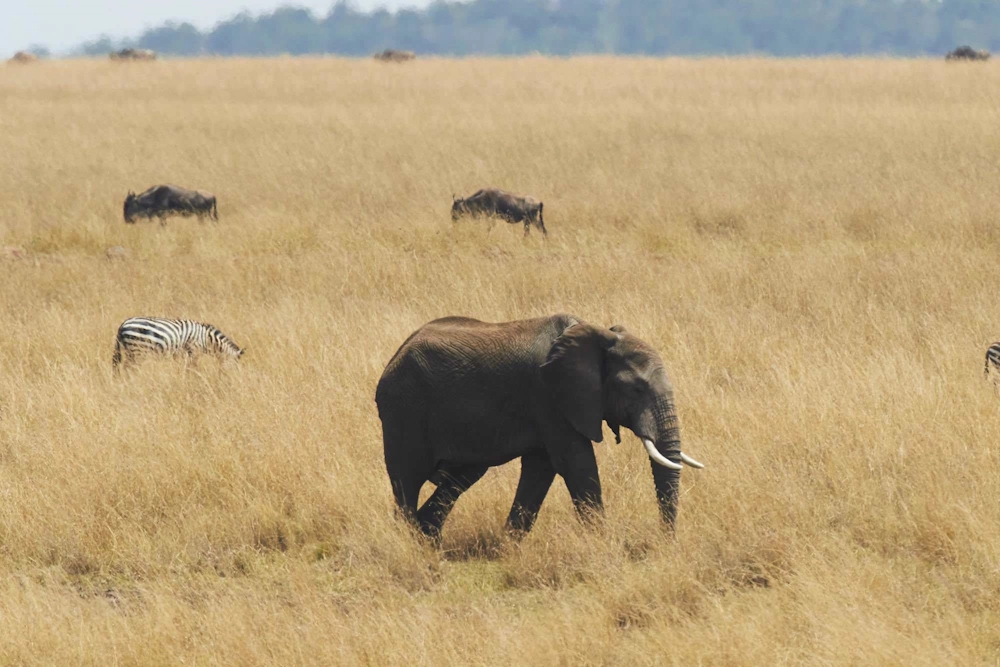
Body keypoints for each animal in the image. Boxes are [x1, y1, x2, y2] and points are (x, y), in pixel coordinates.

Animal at [374, 314, 703, 539]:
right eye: (636, 389)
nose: (664, 542)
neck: (595, 334)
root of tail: (395, 356)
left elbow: (541, 468)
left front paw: (508, 547)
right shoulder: (549, 396)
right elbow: (575, 463)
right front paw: (603, 544)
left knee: (460, 478)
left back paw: (427, 539)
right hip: (404, 410)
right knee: (406, 480)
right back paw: (410, 543)